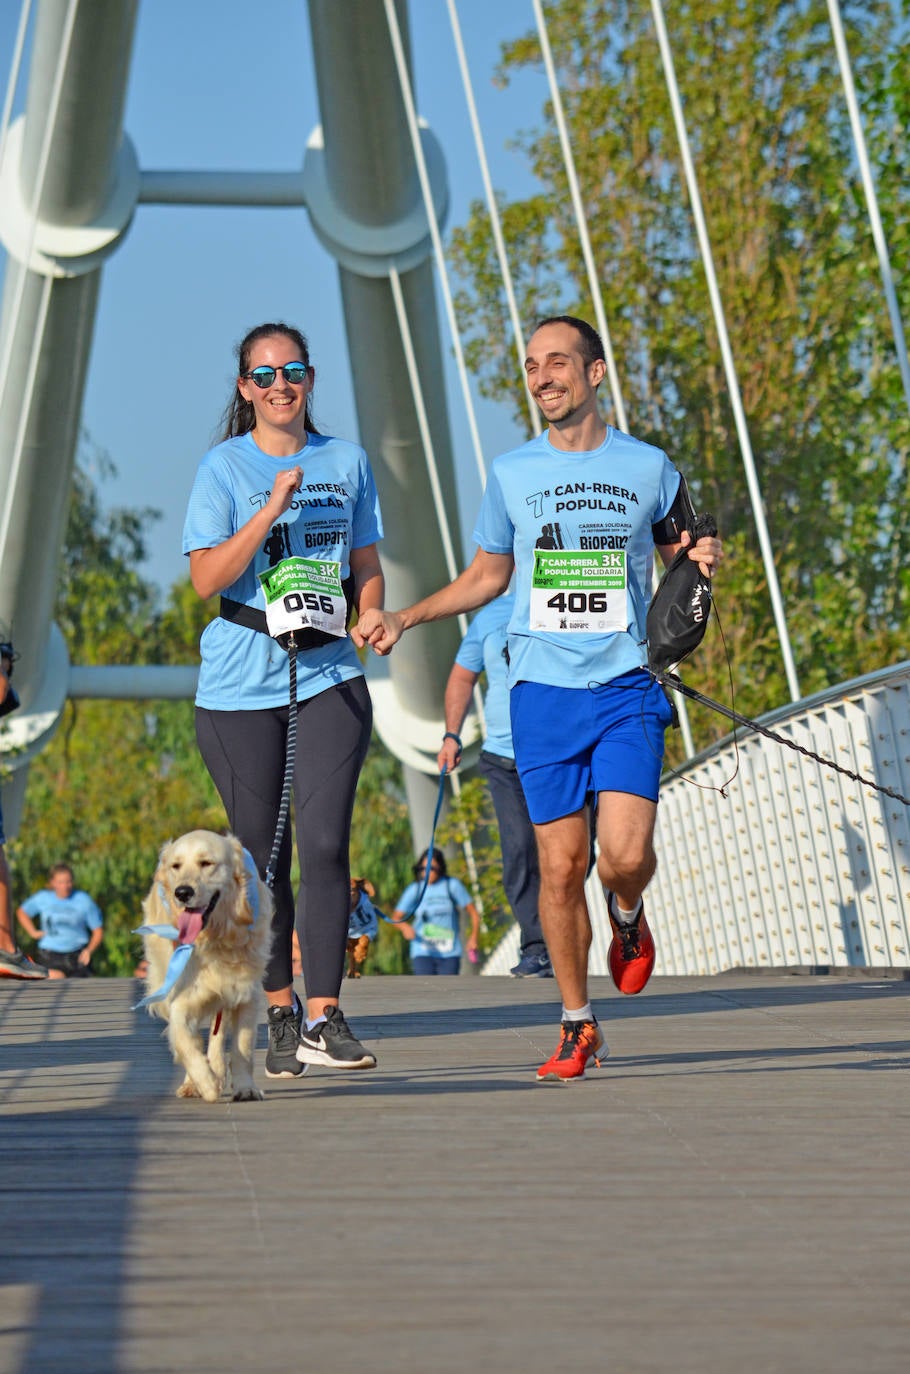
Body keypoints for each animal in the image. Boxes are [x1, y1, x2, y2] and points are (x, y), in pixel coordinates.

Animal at [138, 824, 274, 1104]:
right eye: (176, 866)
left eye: (206, 863)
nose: (182, 892)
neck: (213, 938)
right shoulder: (181, 999)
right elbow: (184, 1041)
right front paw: (207, 1083)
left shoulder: (245, 993)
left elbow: (242, 1047)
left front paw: (245, 1088)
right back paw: (196, 1082)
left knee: (217, 1034)